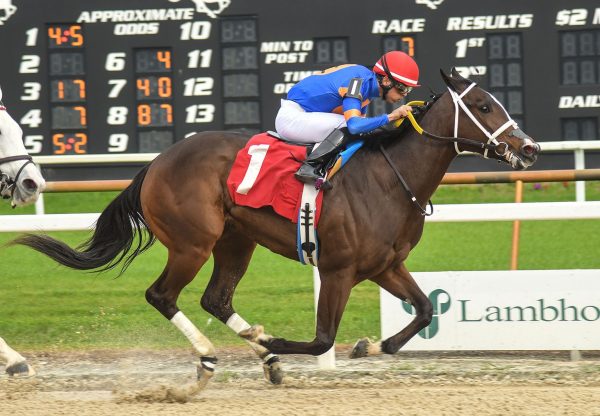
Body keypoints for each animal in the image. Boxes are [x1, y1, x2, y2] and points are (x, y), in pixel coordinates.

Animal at [14, 70, 540, 386]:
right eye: (485, 106)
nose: (530, 148)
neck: (390, 178)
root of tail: (157, 162)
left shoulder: (385, 264)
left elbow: (425, 309)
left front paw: (373, 344)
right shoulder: (338, 269)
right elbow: (323, 338)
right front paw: (277, 341)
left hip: (235, 240)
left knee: (216, 299)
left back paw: (263, 357)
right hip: (192, 242)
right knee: (162, 295)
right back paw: (214, 355)